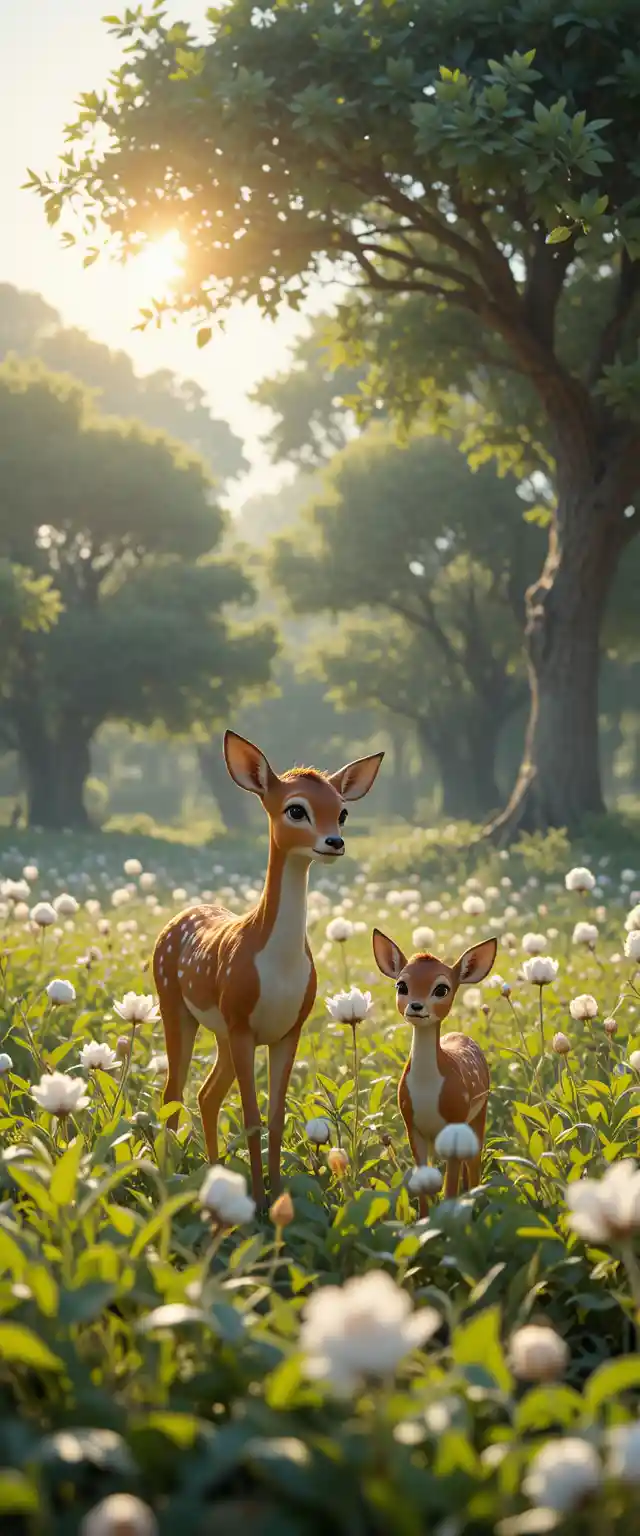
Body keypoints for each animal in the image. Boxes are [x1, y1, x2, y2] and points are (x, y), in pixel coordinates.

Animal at [153, 731, 384, 1207]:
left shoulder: (288, 1030)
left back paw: (215, 1173)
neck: (277, 965)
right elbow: (251, 1117)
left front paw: (277, 1197)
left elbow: (275, 1118)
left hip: (221, 1031)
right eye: (296, 808)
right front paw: (258, 1205)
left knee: (206, 1094)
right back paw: (170, 1184)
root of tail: (181, 915)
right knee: (173, 1092)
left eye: (343, 811)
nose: (334, 842)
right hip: (174, 1003)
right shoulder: (243, 1025)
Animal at [372, 928, 497, 1213]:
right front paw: (425, 1220)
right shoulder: (412, 1126)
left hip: (479, 1114)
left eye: (442, 988)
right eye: (401, 985)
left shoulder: (456, 1122)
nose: (416, 1006)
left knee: (474, 1164)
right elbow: (423, 1186)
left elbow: (449, 1188)